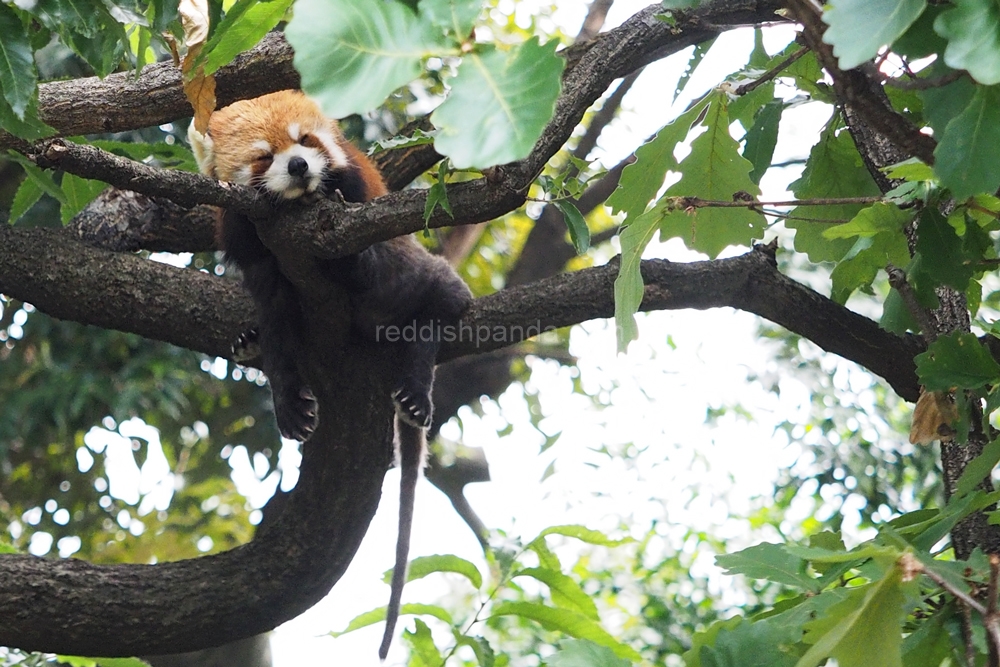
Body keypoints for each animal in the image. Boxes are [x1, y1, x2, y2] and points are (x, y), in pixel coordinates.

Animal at [190, 91, 472, 660]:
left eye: (306, 141)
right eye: (263, 157)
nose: (299, 167)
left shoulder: (360, 201)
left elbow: (359, 248)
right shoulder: (256, 255)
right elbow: (277, 324)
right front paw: (287, 398)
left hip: (417, 274)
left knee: (437, 300)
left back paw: (416, 377)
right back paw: (248, 341)